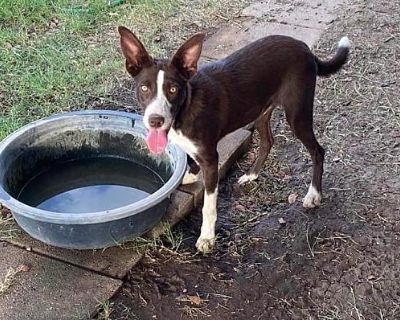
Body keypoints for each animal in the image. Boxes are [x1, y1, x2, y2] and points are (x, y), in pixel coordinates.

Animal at [118, 26, 350, 254]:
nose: (155, 120)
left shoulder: (211, 158)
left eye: (173, 89)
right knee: (268, 141)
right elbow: (191, 158)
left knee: (317, 151)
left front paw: (207, 238)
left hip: (297, 114)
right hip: (261, 110)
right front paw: (189, 175)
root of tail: (304, 48)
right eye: (144, 88)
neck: (185, 108)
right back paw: (251, 175)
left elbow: (209, 206)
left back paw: (313, 194)